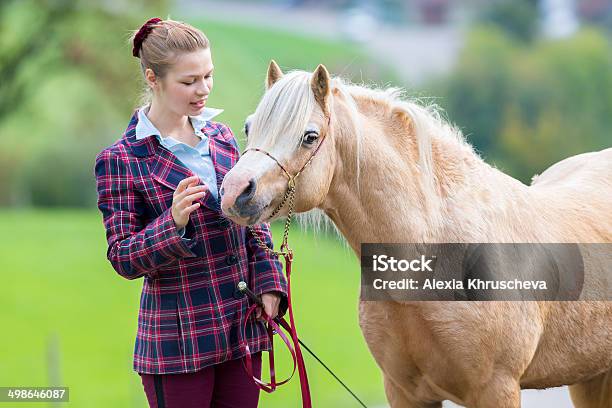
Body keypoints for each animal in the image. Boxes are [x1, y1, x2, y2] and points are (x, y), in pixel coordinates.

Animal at [220, 61, 612, 408]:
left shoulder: (497, 390)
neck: (436, 254)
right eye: (249, 126)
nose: (235, 192)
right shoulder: (405, 391)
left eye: (309, 136)